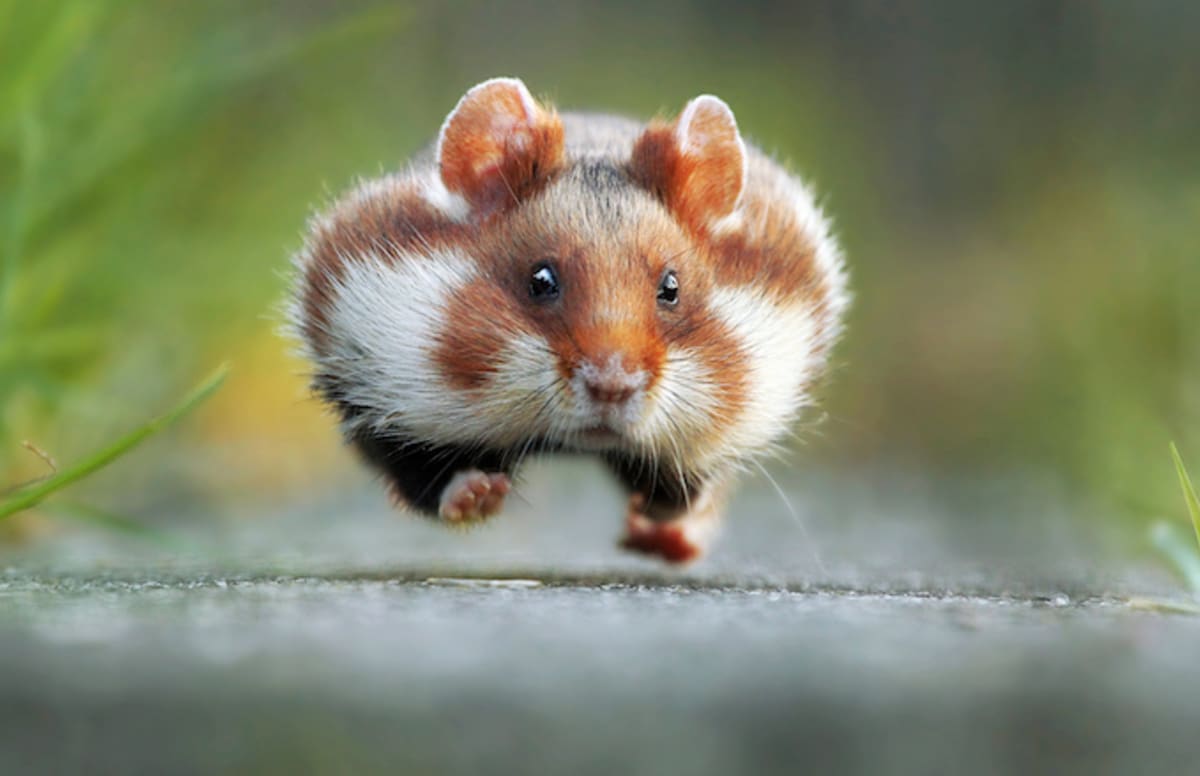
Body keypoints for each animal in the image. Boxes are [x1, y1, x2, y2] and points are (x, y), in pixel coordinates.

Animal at [288, 77, 849, 563]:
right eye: (541, 280)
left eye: (671, 289)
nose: (612, 387)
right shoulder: (375, 391)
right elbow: (425, 476)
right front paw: (480, 494)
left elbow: (685, 486)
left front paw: (653, 512)